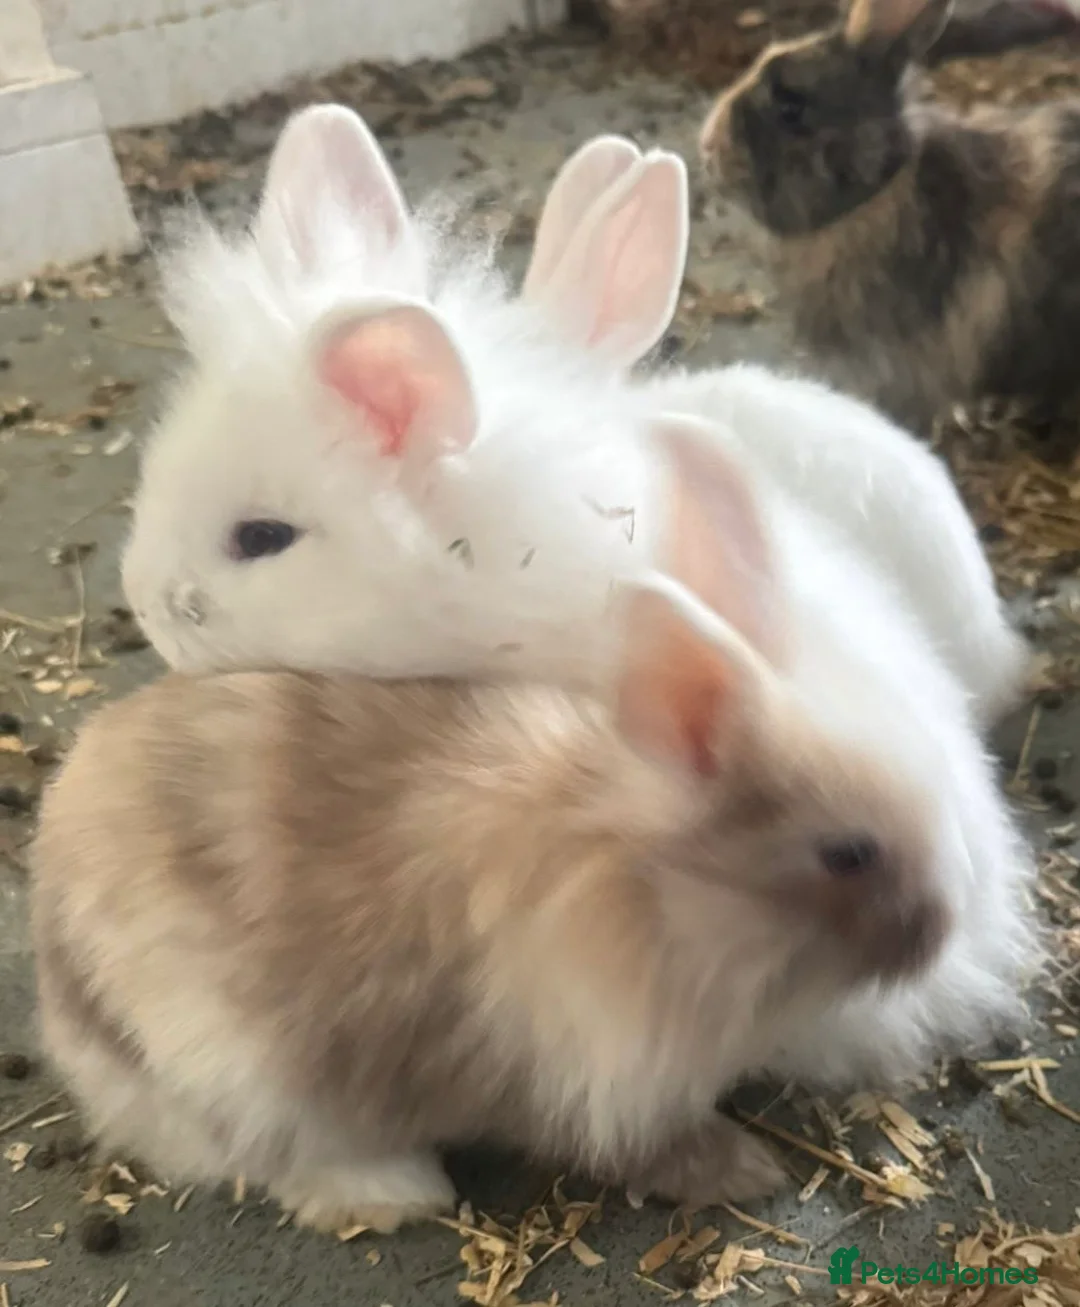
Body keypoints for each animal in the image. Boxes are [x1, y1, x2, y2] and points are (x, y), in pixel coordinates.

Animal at [33, 413, 1033, 1235]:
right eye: (848, 852)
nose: (940, 930)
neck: (656, 892)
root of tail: (63, 989)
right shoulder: (594, 1076)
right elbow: (646, 1145)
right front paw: (745, 1170)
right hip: (231, 1064)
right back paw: (396, 1192)